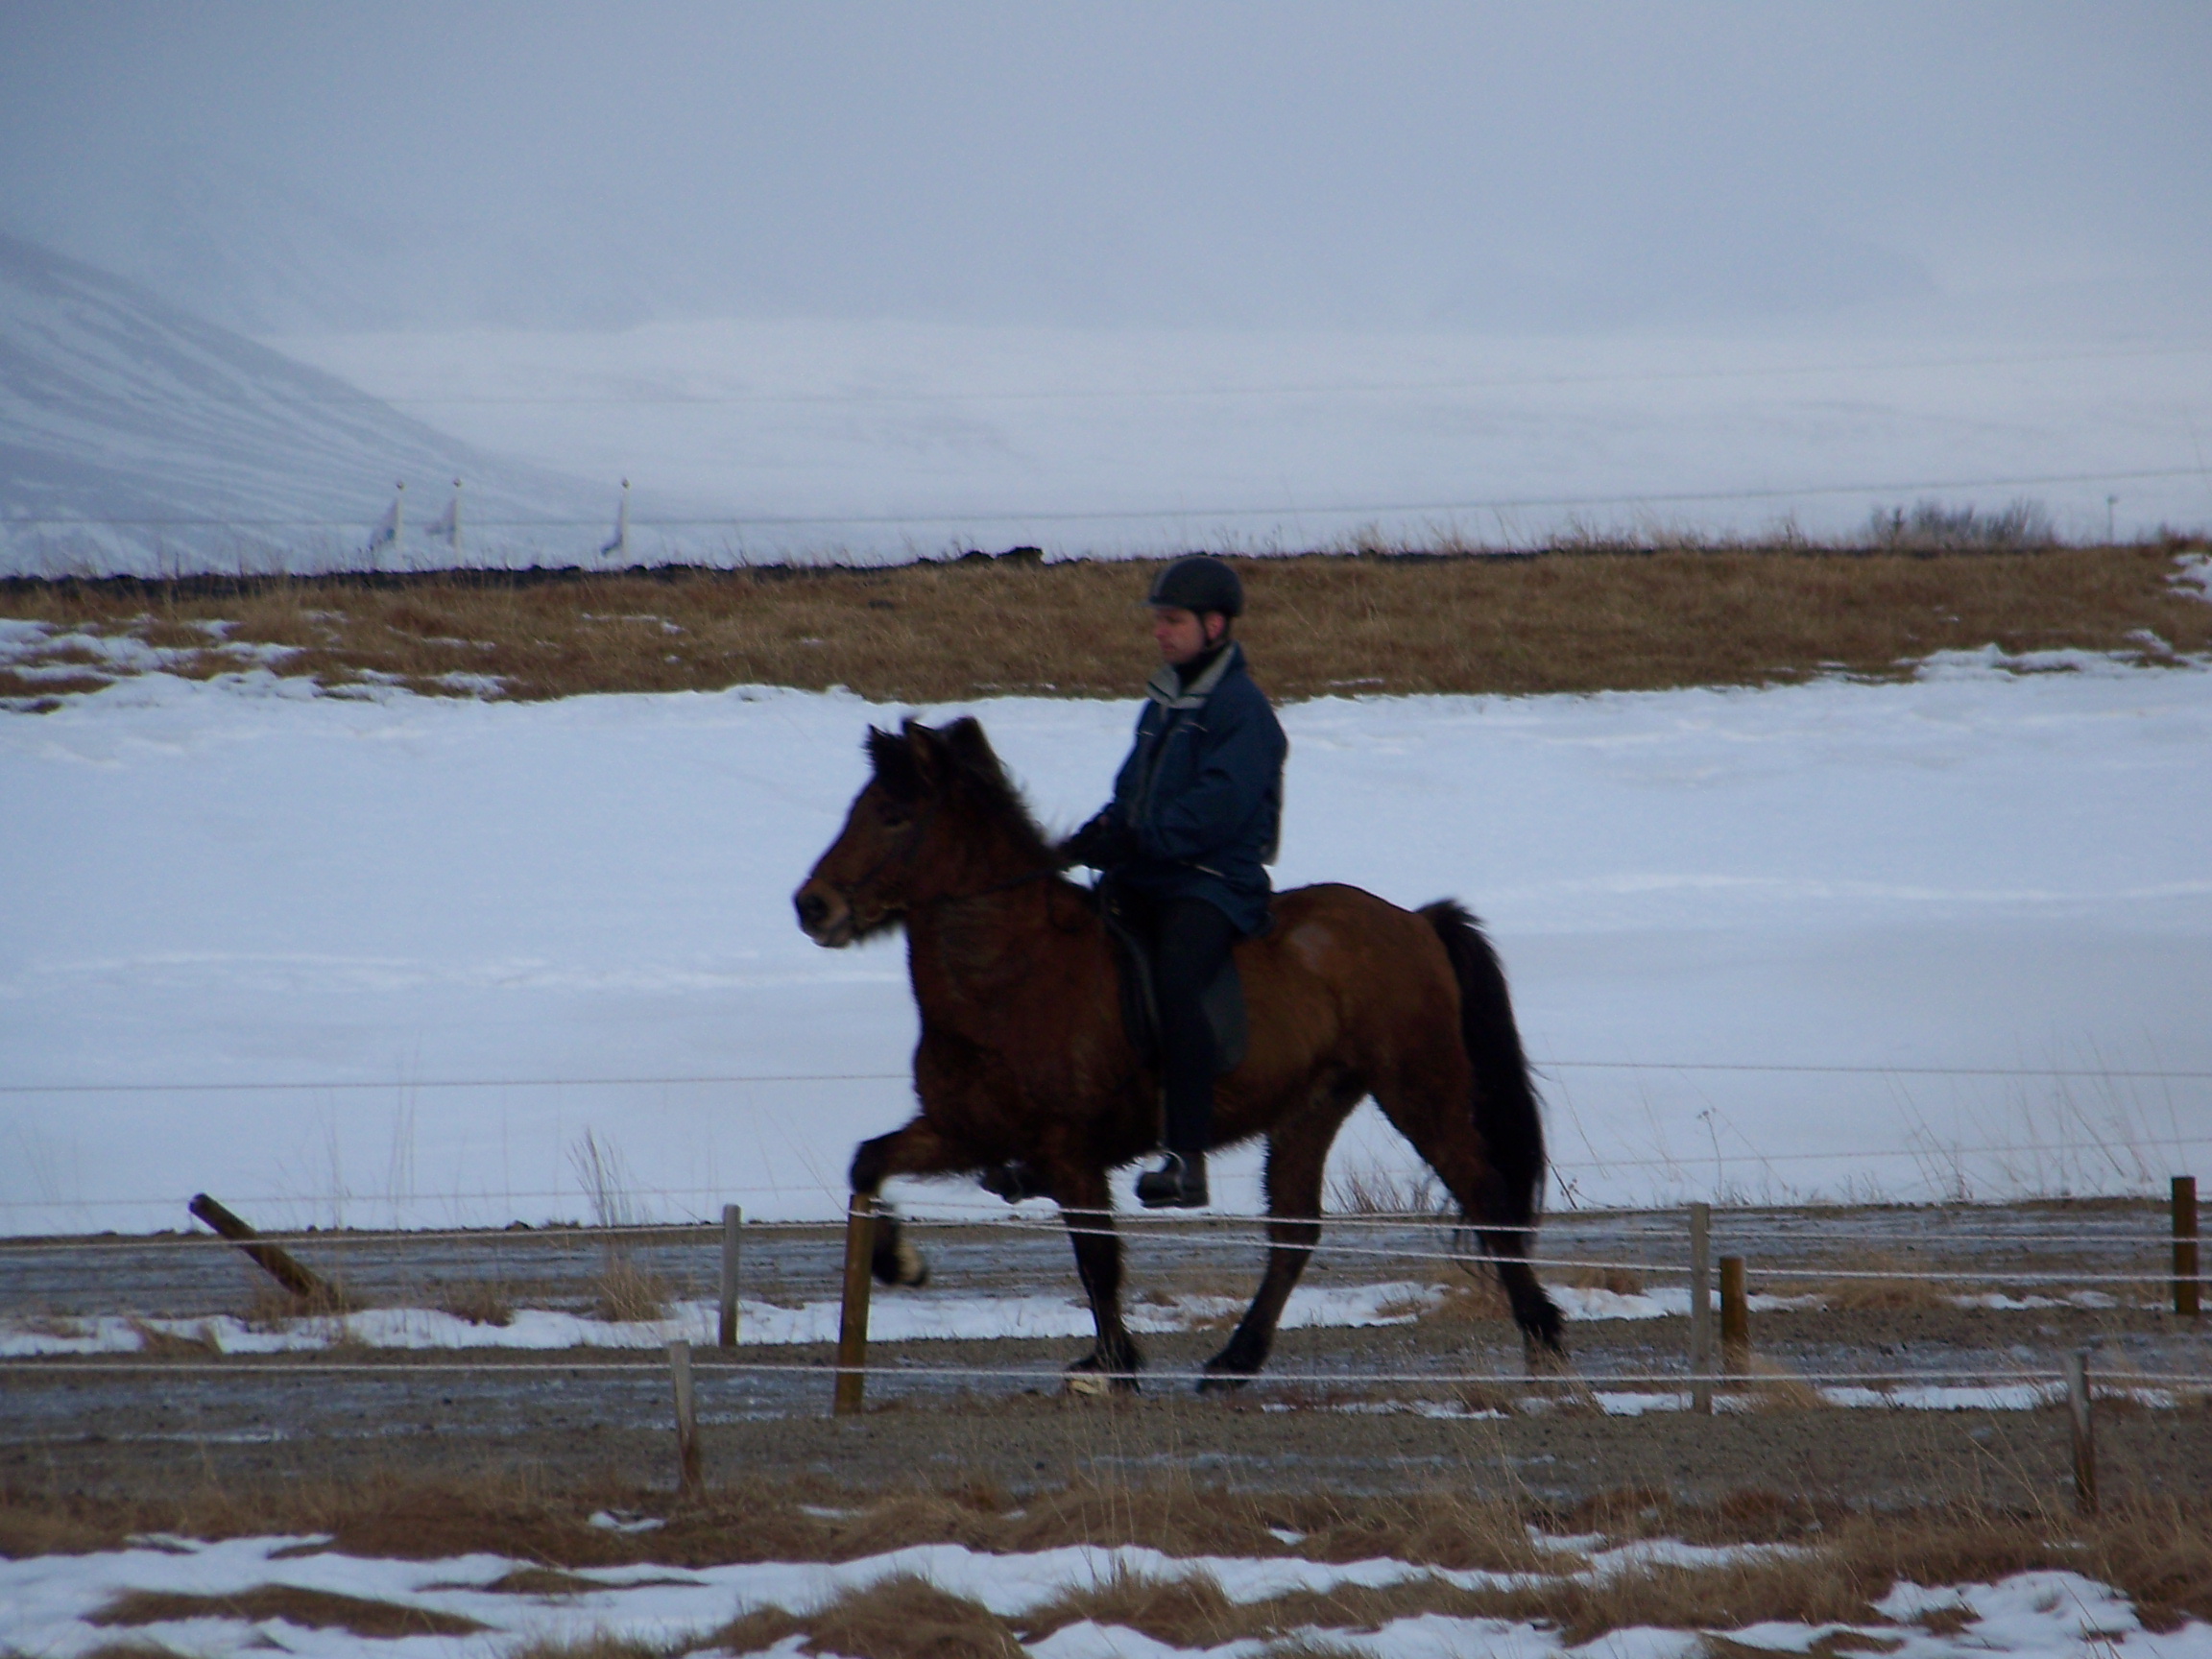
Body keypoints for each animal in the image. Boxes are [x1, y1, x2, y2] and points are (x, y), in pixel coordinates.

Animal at [793, 714, 1564, 1390]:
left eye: (894, 815)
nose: (812, 907)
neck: (1009, 972)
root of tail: (1414, 921)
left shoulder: (1068, 1152)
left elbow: (1097, 1259)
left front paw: (1112, 1366)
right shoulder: (965, 1130)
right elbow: (868, 1163)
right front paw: (900, 1264)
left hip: (1417, 1088)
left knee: (1483, 1190)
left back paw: (1542, 1335)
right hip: (1312, 1105)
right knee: (1294, 1230)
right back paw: (1234, 1362)